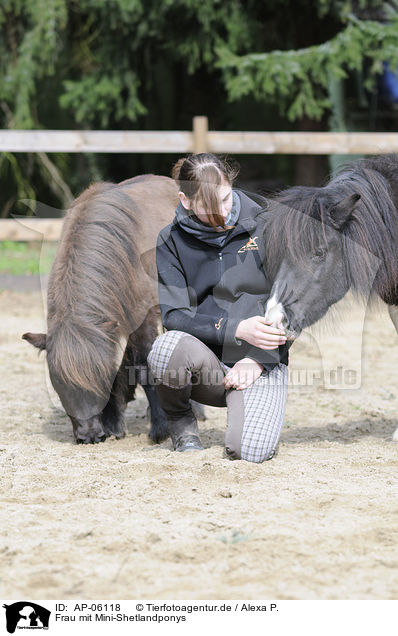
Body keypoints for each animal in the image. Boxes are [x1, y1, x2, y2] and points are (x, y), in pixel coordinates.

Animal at [23, 174, 179, 442]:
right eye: (59, 382)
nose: (90, 436)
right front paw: (113, 423)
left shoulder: (144, 320)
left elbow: (147, 366)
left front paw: (161, 428)